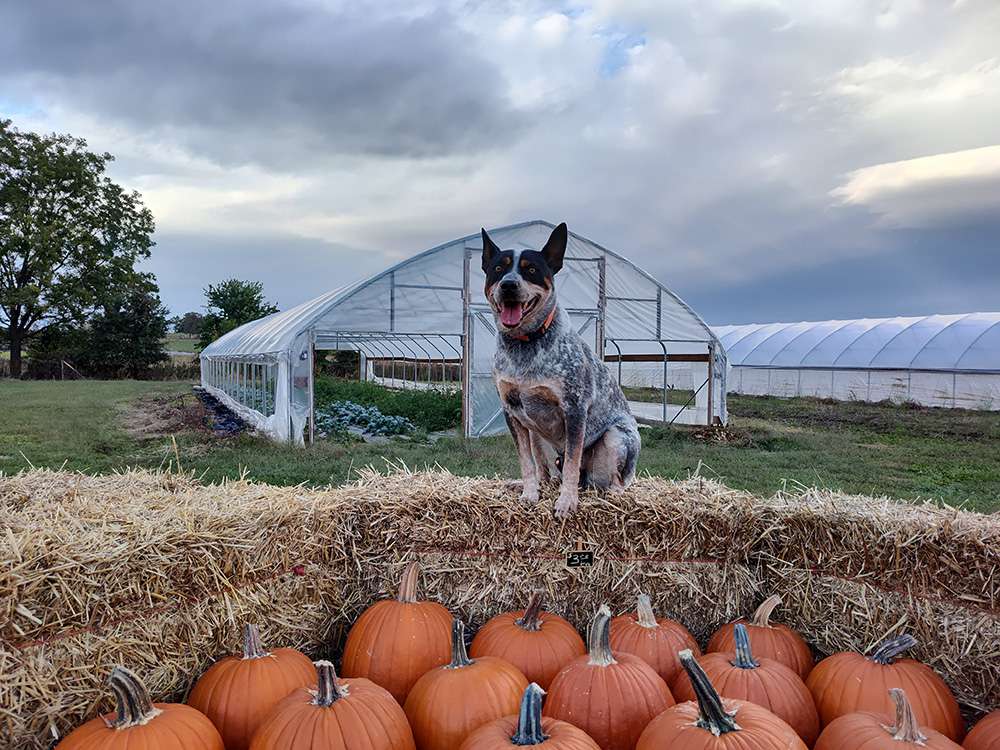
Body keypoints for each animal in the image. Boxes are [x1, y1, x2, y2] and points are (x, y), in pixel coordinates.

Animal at [482, 220, 640, 520]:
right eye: (498, 269)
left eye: (532, 269)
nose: (508, 285)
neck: (525, 343)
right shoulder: (512, 410)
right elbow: (527, 462)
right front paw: (529, 494)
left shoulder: (574, 408)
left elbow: (570, 465)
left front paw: (567, 502)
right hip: (536, 434)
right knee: (545, 471)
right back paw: (528, 484)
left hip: (616, 438)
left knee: (611, 480)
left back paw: (612, 495)